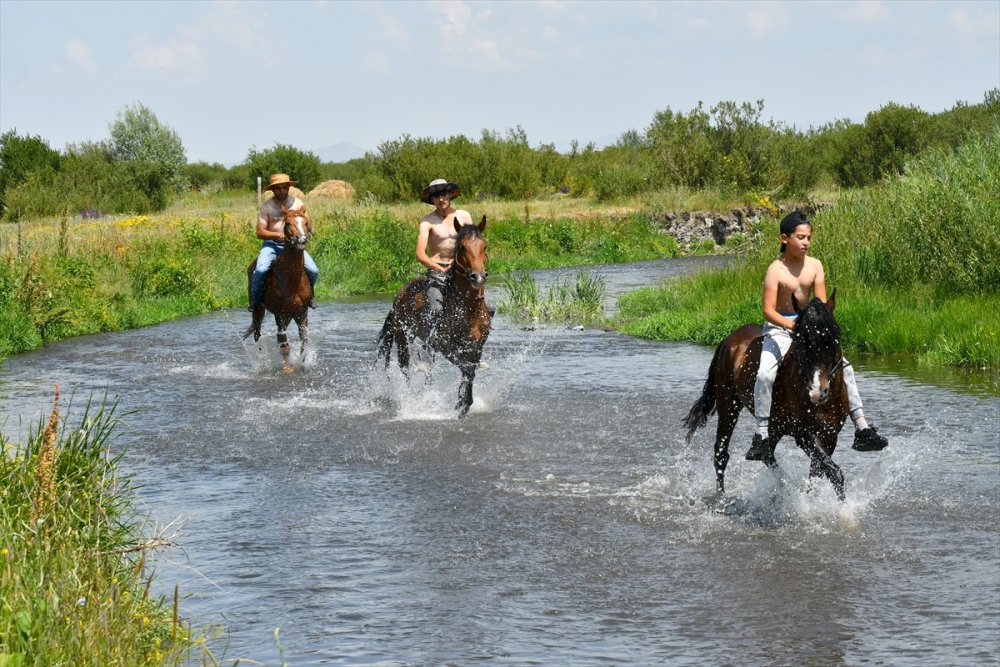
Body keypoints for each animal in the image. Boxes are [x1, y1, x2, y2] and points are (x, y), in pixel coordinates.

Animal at [242, 207, 312, 374]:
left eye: (306, 223)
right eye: (288, 223)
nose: (301, 240)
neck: (292, 281)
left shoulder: (302, 313)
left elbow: (304, 342)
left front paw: (302, 365)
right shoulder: (280, 314)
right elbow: (284, 345)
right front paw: (287, 370)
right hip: (258, 310)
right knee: (257, 336)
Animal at [376, 217, 492, 418]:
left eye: (484, 245)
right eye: (462, 247)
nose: (477, 277)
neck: (468, 309)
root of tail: (400, 293)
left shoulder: (476, 347)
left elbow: (470, 370)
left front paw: (463, 402)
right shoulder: (446, 347)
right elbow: (467, 368)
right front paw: (462, 404)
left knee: (429, 368)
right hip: (402, 336)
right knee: (405, 368)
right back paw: (410, 401)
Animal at [680, 292, 852, 500]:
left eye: (834, 339)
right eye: (802, 343)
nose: (817, 391)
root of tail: (730, 339)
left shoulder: (830, 435)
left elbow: (819, 471)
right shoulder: (802, 434)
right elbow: (833, 471)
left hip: (775, 424)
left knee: (765, 453)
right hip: (729, 406)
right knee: (721, 454)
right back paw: (722, 497)